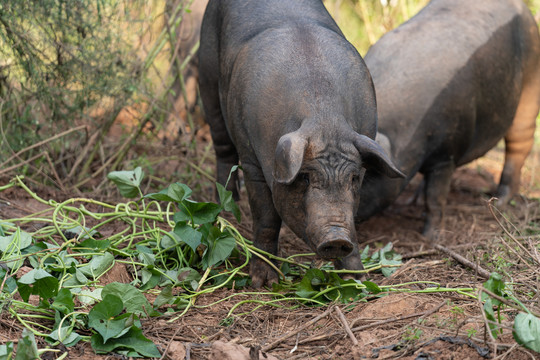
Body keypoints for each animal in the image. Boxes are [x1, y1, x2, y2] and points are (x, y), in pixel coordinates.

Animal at [200, 0, 402, 286]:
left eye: (354, 178)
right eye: (304, 177)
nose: (337, 237)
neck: (324, 116)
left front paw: (357, 280)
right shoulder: (252, 161)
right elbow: (266, 218)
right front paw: (264, 283)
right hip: (206, 73)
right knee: (222, 148)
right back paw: (227, 205)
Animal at [356, 0, 536, 238]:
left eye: (362, 176)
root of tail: (523, 8)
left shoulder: (446, 155)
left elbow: (436, 197)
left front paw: (430, 237)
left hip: (531, 82)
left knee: (518, 145)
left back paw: (500, 202)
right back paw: (413, 202)